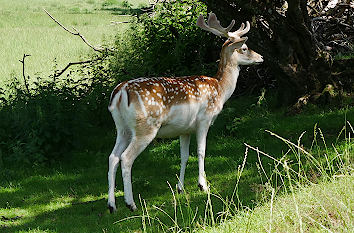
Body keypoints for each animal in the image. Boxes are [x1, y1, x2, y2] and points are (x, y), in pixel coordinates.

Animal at [106, 13, 262, 213]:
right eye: (244, 48)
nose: (261, 57)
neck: (220, 89)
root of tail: (121, 92)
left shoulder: (184, 129)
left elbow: (184, 156)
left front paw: (180, 188)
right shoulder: (204, 120)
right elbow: (201, 151)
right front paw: (203, 185)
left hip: (122, 128)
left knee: (113, 157)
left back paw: (112, 205)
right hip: (145, 127)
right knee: (125, 158)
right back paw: (130, 203)